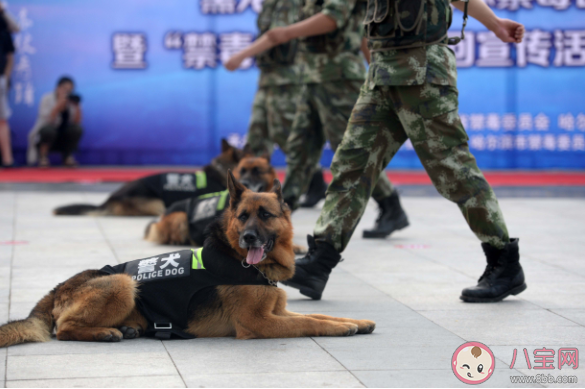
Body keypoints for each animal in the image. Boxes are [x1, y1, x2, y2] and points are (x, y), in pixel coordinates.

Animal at [0, 171, 376, 346]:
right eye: (242, 216)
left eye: (265, 215)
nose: (248, 238)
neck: (242, 261)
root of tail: (57, 288)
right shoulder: (260, 323)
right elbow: (309, 322)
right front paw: (339, 329)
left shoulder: (279, 312)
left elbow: (319, 313)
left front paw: (355, 322)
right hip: (122, 282)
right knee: (63, 329)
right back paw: (106, 332)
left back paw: (126, 328)